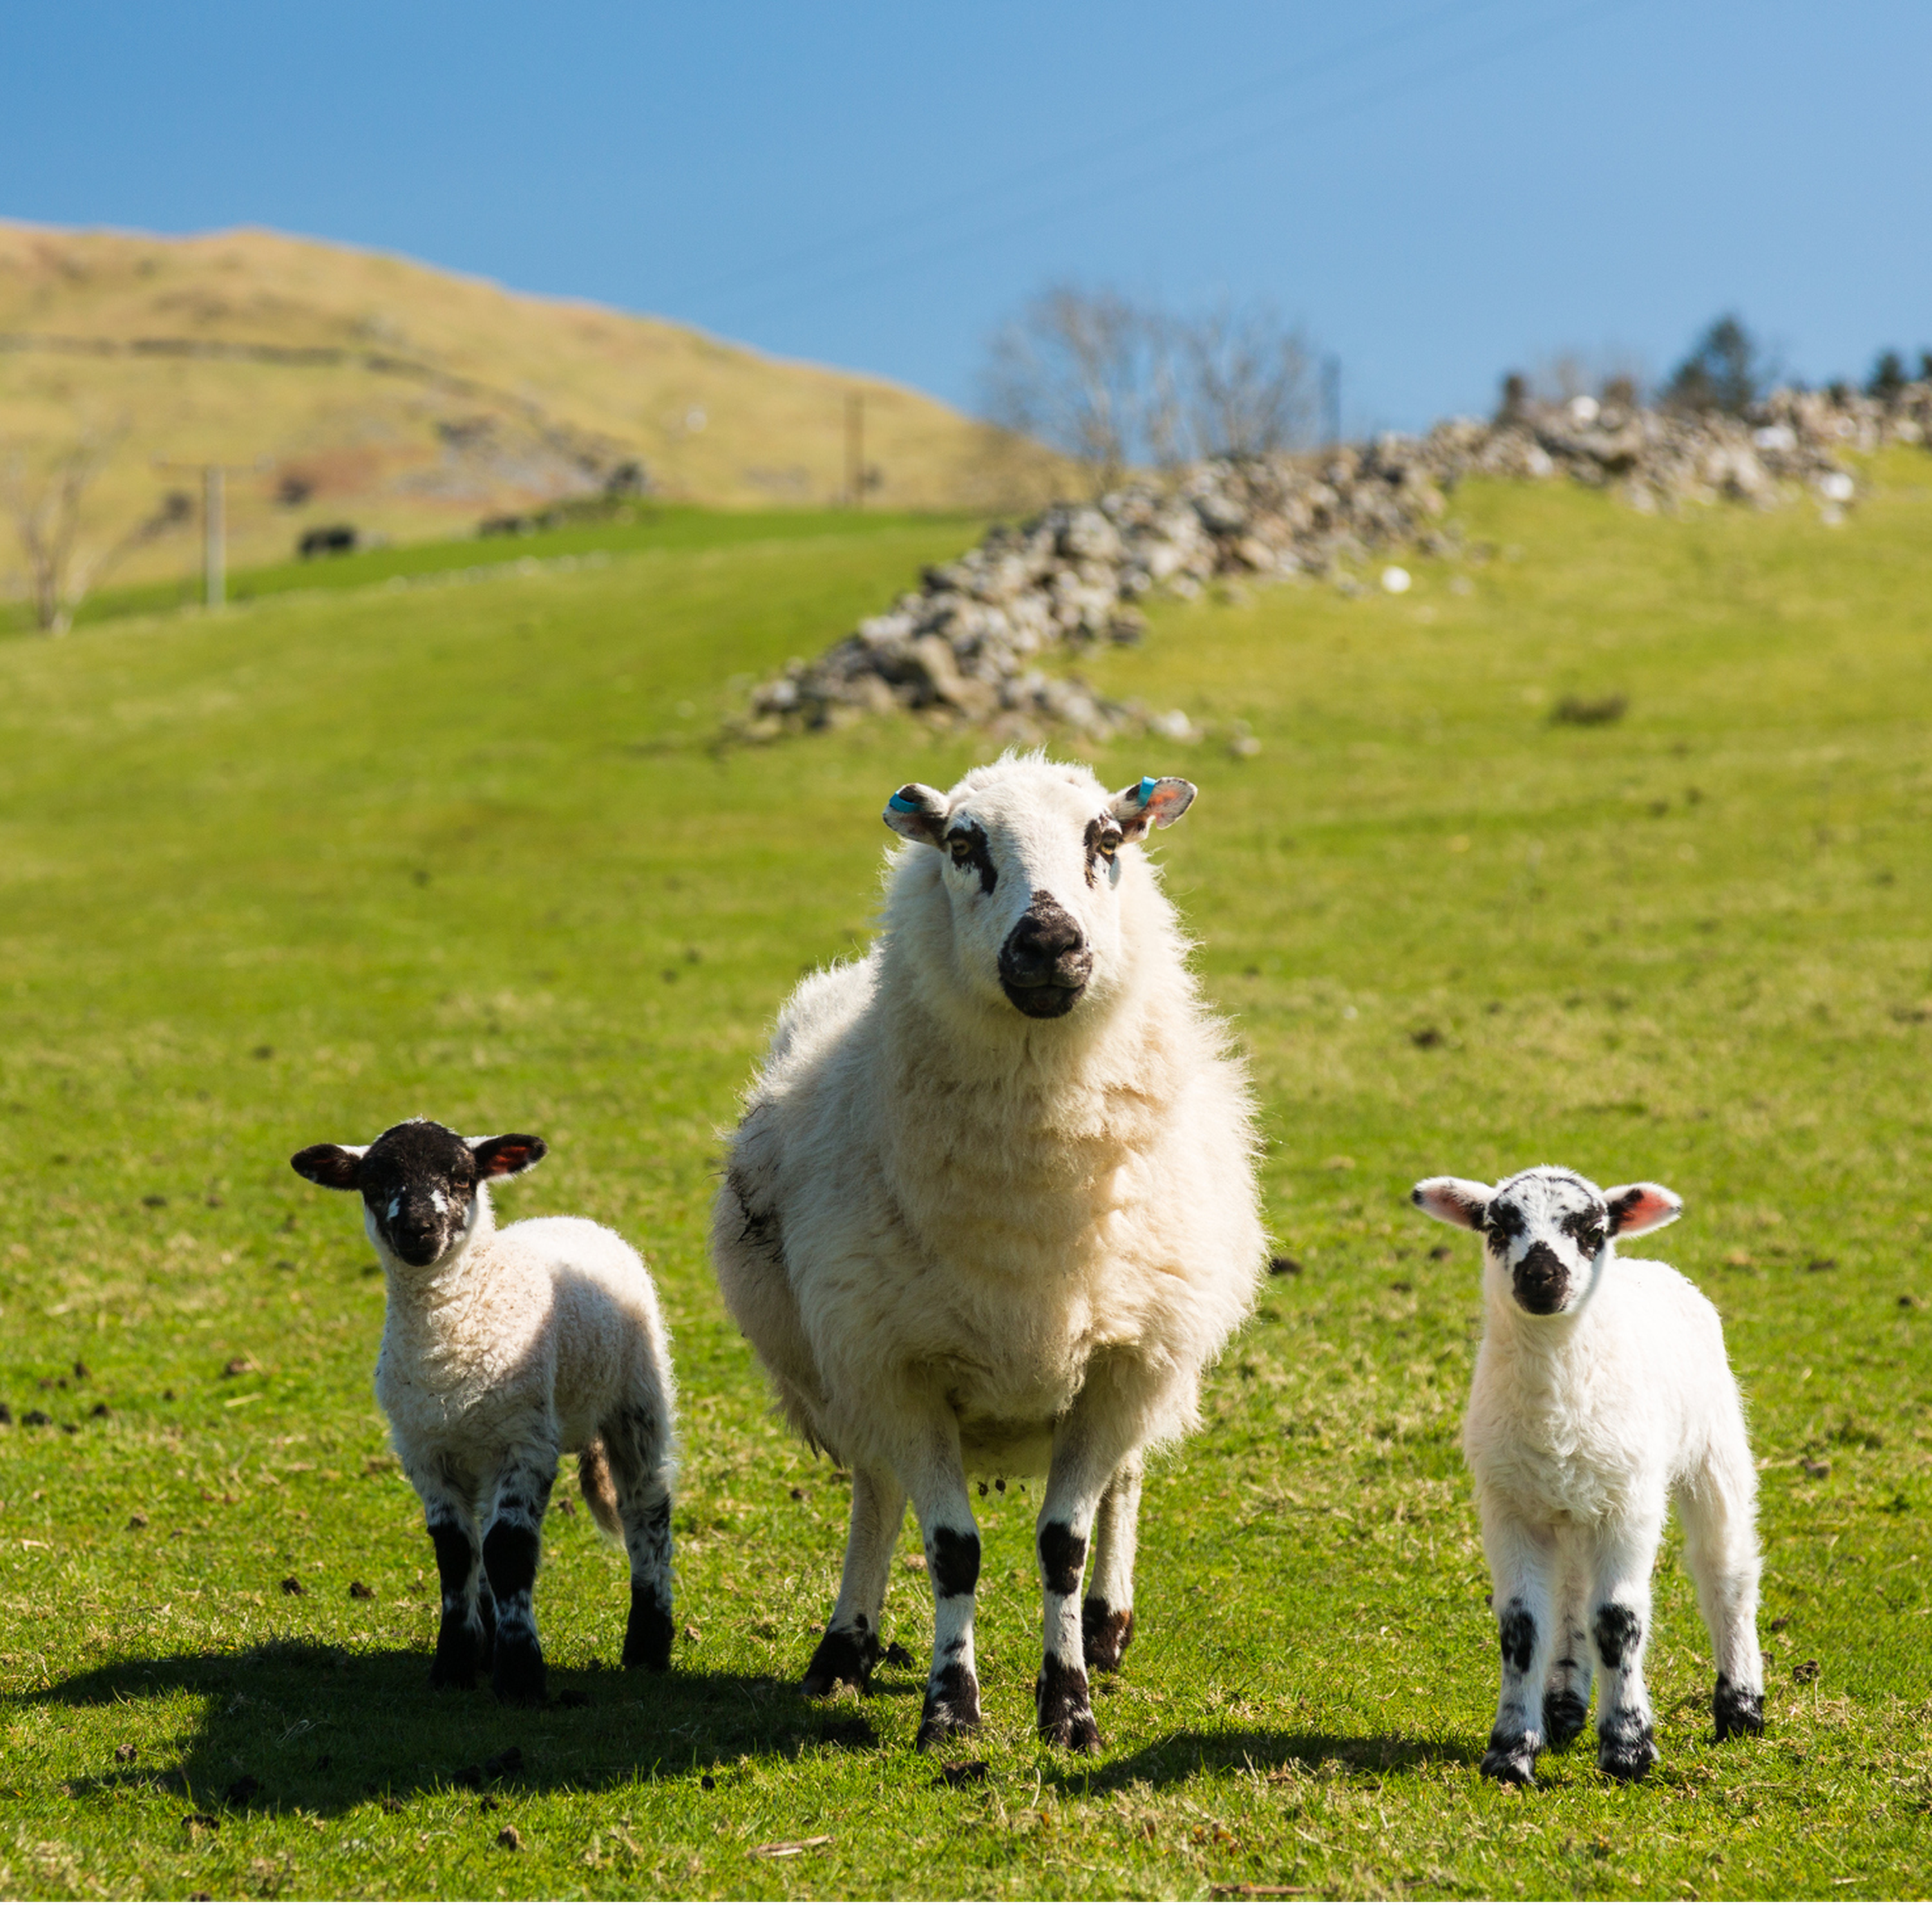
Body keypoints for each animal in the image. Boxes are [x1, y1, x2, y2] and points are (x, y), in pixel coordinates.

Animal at [291, 1118, 677, 1705]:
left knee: (646, 1510)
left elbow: (508, 1551)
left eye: (461, 1178)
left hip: (636, 1400)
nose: (419, 1229)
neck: (450, 1336)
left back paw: (648, 1647)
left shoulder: (525, 1444)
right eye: (373, 1182)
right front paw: (454, 1664)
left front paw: (520, 1676)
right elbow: (457, 1554)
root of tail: (571, 1220)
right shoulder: (425, 1452)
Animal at [711, 750, 1266, 1753]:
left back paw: (1108, 1624)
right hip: (847, 1367)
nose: (1048, 942)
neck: (1031, 1211)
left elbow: (1064, 1542)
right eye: (963, 846)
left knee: (1125, 1479)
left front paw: (1070, 1705)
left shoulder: (1123, 1362)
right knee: (877, 1490)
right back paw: (846, 1647)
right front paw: (950, 1711)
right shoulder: (898, 1366)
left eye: (1107, 840)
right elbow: (951, 1548)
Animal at [1411, 1164, 1764, 1784]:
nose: (1541, 1276)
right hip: (1571, 1500)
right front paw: (1511, 1753)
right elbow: (1522, 1626)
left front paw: (1628, 1750)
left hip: (1714, 1448)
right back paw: (1563, 1705)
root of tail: (1649, 1266)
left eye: (1593, 1230)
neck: (1554, 1402)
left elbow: (1618, 1620)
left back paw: (1741, 1708)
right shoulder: (1507, 1508)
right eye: (1496, 1227)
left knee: (1727, 1571)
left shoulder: (1631, 1505)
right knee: (1571, 1591)